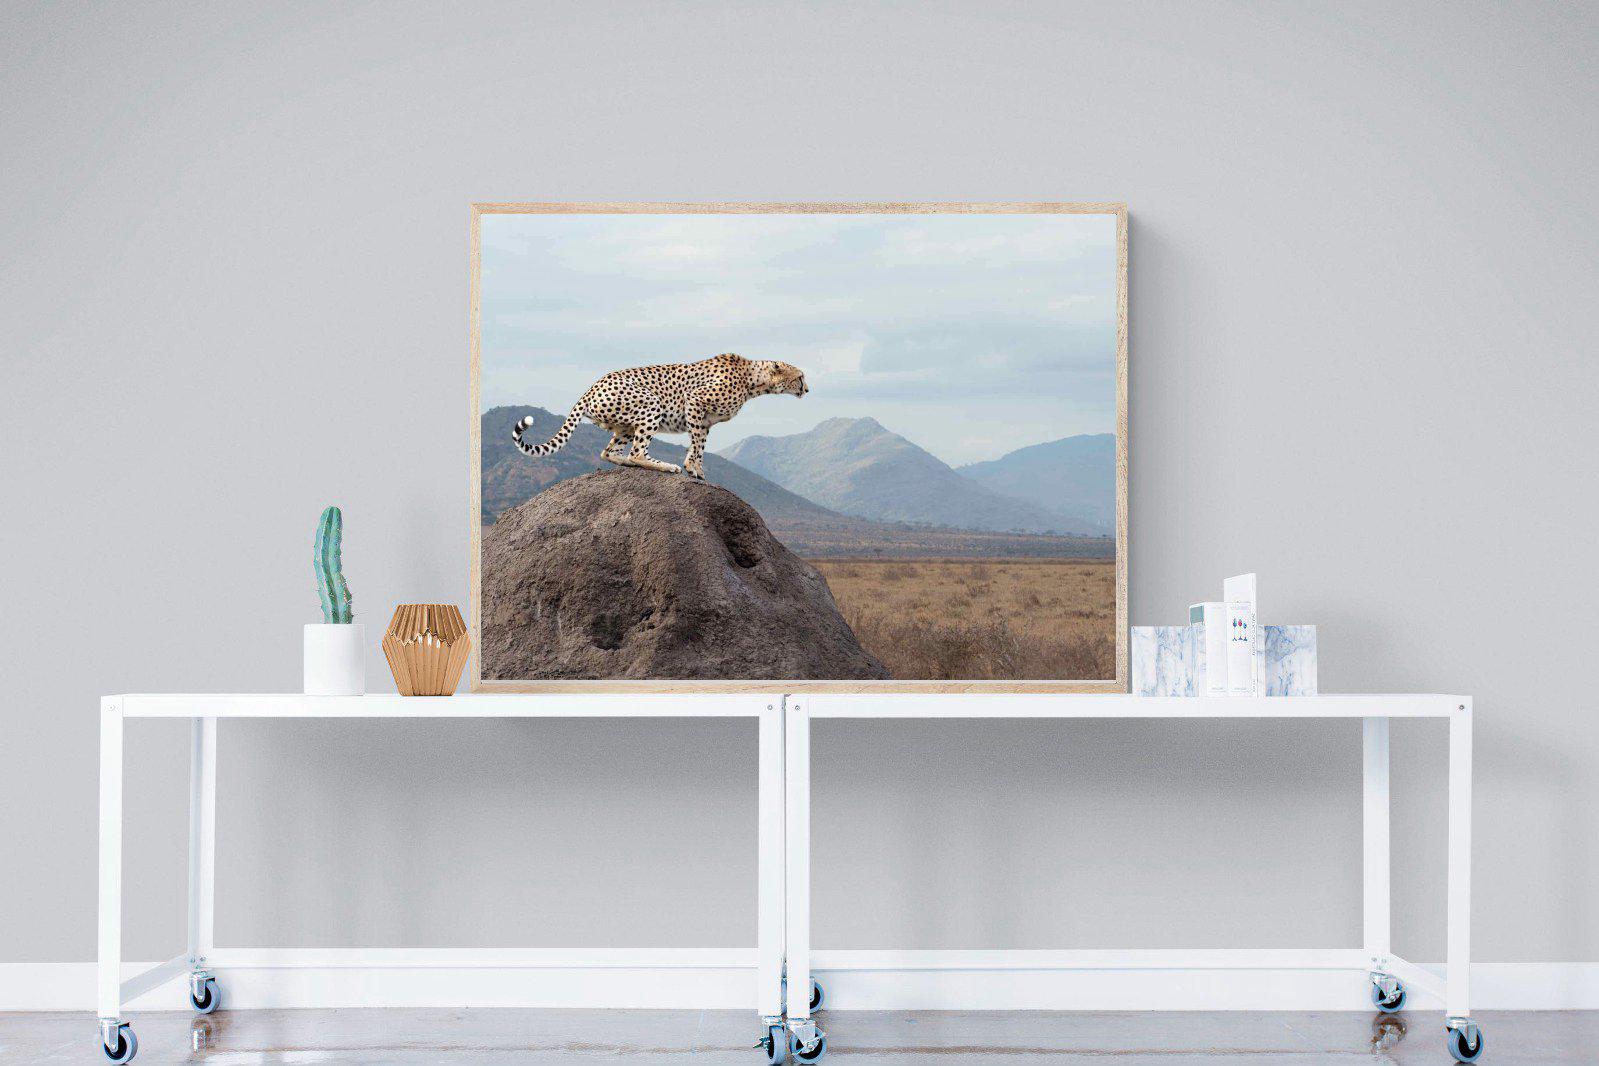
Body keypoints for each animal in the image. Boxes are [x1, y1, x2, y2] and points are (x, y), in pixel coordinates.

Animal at [512, 353, 808, 479]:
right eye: (800, 376)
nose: (807, 389)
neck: (753, 380)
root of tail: (592, 386)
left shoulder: (705, 420)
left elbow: (699, 445)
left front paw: (697, 468)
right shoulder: (695, 402)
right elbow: (697, 445)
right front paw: (692, 468)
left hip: (624, 426)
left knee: (609, 452)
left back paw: (629, 463)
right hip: (651, 404)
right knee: (637, 453)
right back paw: (665, 466)